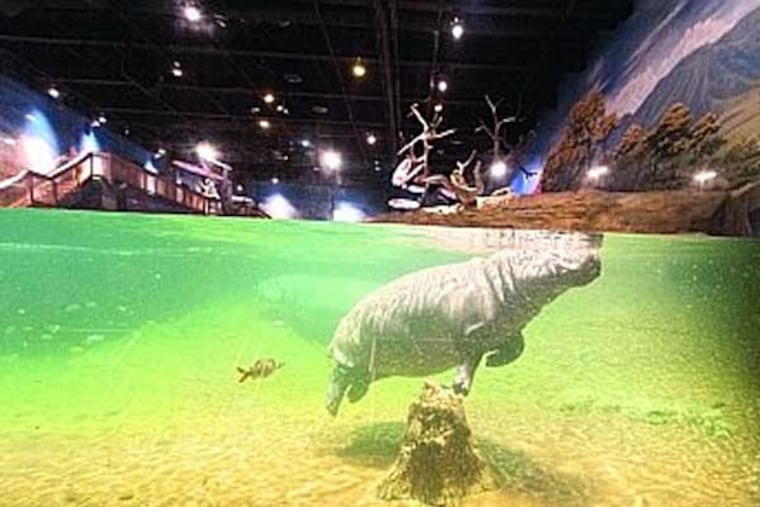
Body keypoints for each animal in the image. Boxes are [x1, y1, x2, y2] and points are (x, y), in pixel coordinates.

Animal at [325, 231, 602, 415]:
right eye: (549, 250)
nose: (595, 256)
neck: (507, 275)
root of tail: (334, 337)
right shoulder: (471, 334)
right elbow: (471, 359)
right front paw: (460, 388)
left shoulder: (509, 330)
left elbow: (518, 347)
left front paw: (494, 361)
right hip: (349, 354)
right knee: (338, 376)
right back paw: (331, 408)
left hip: (376, 366)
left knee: (359, 378)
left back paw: (354, 398)